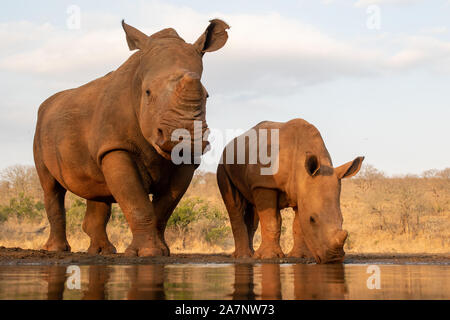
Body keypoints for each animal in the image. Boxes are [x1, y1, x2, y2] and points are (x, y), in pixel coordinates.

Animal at [32, 18, 229, 256]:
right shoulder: (116, 147)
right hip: (40, 129)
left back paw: (102, 251)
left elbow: (163, 207)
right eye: (148, 92)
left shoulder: (188, 160)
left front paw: (161, 251)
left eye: (207, 95)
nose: (185, 140)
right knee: (51, 187)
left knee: (97, 188)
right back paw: (57, 250)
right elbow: (137, 203)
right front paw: (148, 253)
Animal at [218, 119, 366, 264]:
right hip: (224, 163)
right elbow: (272, 220)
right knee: (235, 205)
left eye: (342, 219)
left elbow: (298, 224)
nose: (333, 259)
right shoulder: (264, 184)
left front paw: (300, 256)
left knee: (252, 209)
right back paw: (243, 257)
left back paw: (251, 255)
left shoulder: (302, 190)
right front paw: (269, 257)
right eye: (313, 219)